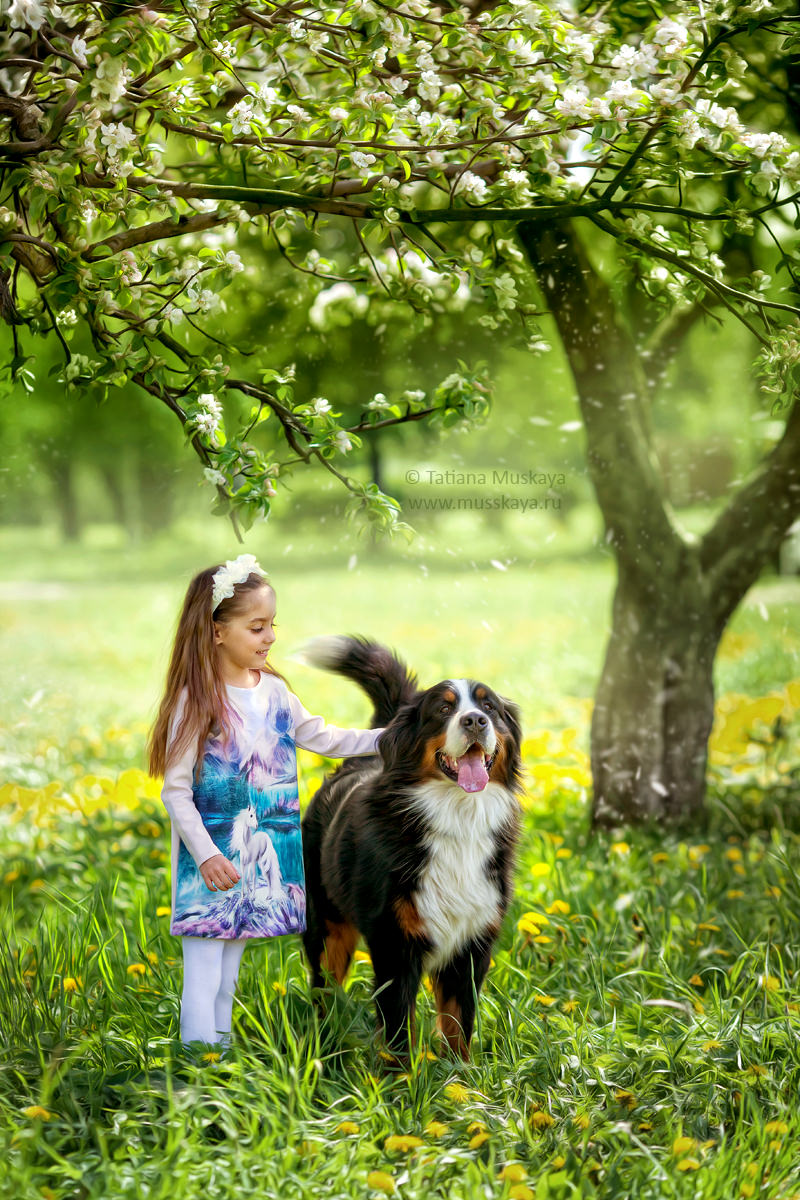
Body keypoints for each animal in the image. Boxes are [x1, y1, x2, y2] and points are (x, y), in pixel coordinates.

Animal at [299, 638, 525, 1060]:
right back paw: (325, 1040)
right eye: (444, 709)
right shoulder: (395, 945)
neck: (458, 818)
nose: (475, 721)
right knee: (325, 988)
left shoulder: (472, 945)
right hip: (326, 925)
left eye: (489, 707)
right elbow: (398, 1031)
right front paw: (401, 1077)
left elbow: (458, 1023)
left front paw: (461, 1076)